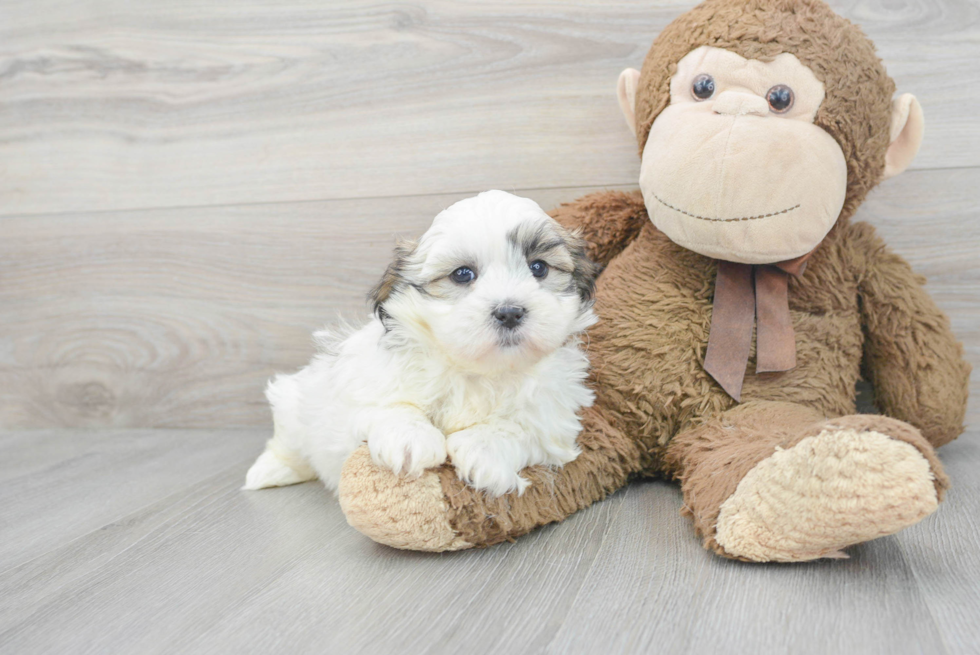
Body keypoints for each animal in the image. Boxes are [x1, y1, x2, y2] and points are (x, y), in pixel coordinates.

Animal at [245, 190, 596, 498]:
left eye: (539, 267)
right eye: (463, 274)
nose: (509, 312)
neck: (478, 371)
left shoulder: (554, 417)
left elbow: (524, 427)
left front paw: (483, 449)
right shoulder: (363, 381)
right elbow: (390, 405)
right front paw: (410, 438)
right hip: (295, 404)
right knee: (289, 443)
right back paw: (269, 472)